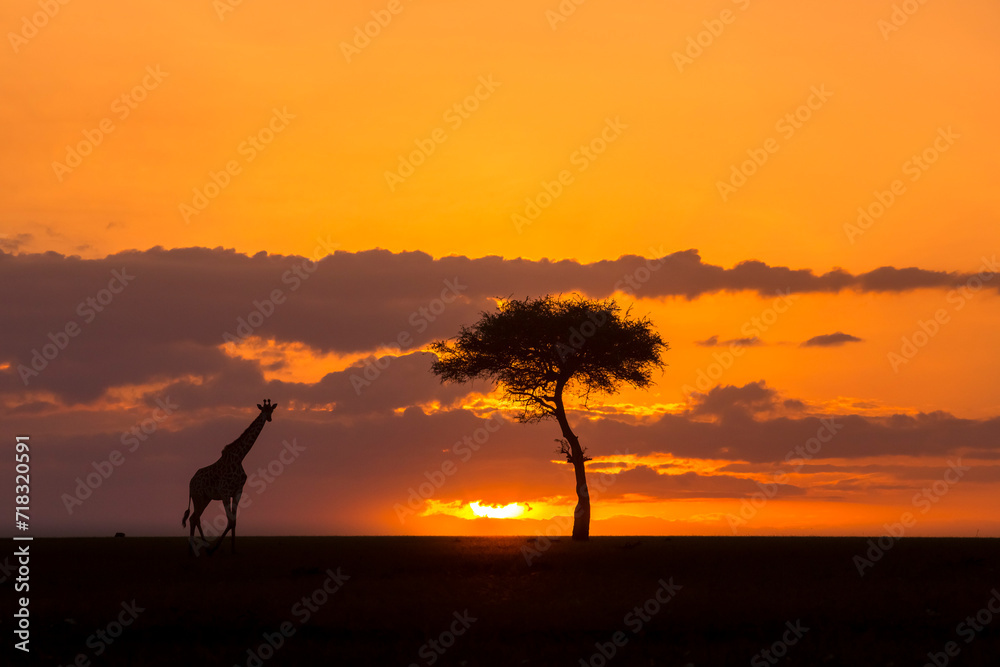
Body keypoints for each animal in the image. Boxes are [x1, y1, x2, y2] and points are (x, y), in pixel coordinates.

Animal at [182, 399, 277, 555]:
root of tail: (190, 482)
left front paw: (233, 549)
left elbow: (234, 521)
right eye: (263, 409)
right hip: (198, 496)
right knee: (193, 518)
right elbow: (230, 521)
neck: (239, 457)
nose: (268, 418)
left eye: (272, 410)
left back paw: (202, 548)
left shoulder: (238, 491)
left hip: (205, 498)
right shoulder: (225, 492)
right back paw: (197, 550)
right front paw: (216, 547)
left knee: (195, 518)